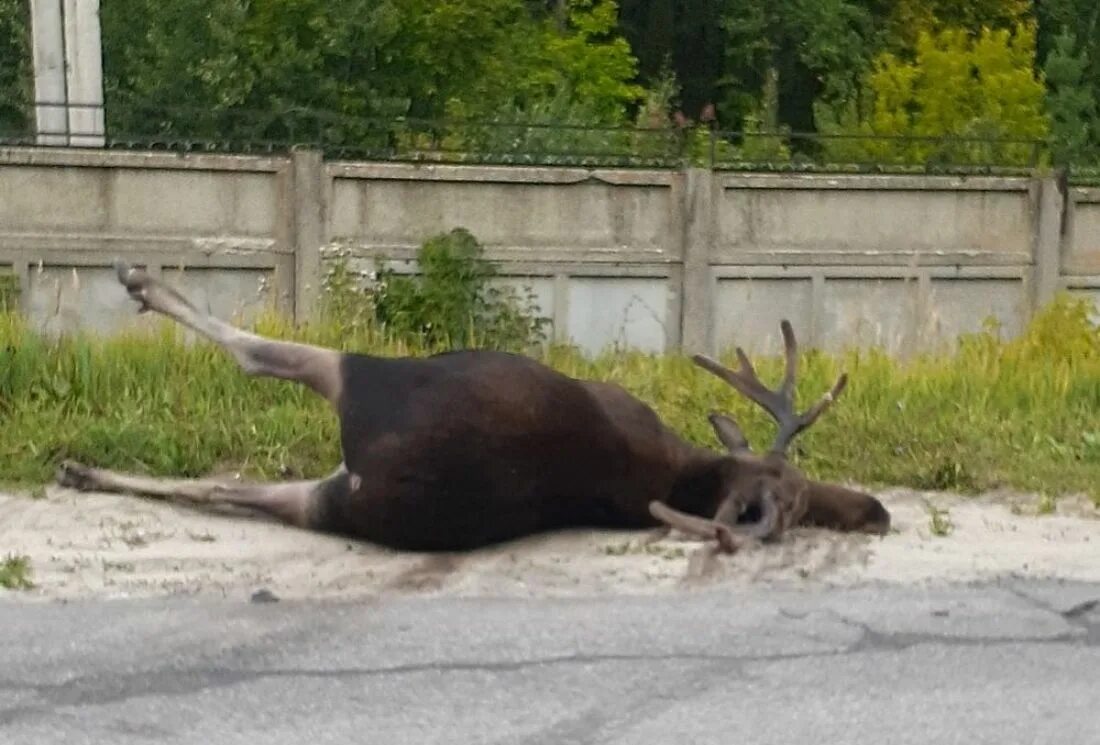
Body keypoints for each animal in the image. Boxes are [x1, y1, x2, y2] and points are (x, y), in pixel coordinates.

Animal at [55, 261, 888, 552]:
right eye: (794, 485)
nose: (875, 507)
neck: (688, 474)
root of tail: (375, 466)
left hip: (362, 392)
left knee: (254, 361)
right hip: (337, 478)